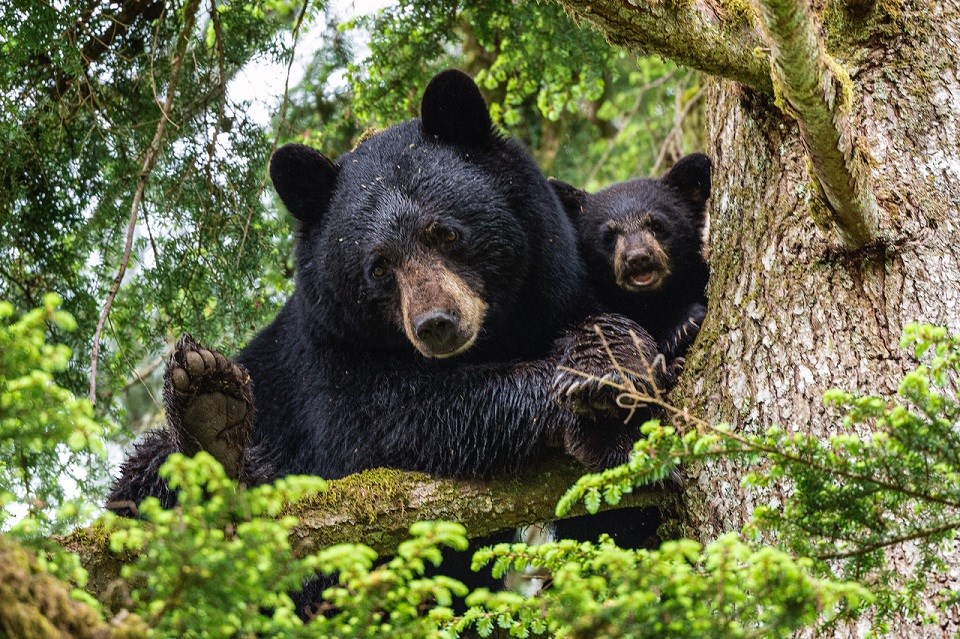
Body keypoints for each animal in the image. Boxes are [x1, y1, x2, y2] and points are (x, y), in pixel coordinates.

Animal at [105, 67, 668, 516]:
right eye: (378, 267)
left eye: (445, 233)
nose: (436, 324)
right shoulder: (325, 357)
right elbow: (385, 419)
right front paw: (589, 399)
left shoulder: (558, 289)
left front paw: (609, 362)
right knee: (147, 473)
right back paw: (211, 420)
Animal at [548, 154, 712, 362]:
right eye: (608, 236)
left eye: (657, 225)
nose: (638, 257)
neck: (649, 301)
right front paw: (681, 328)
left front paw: (684, 324)